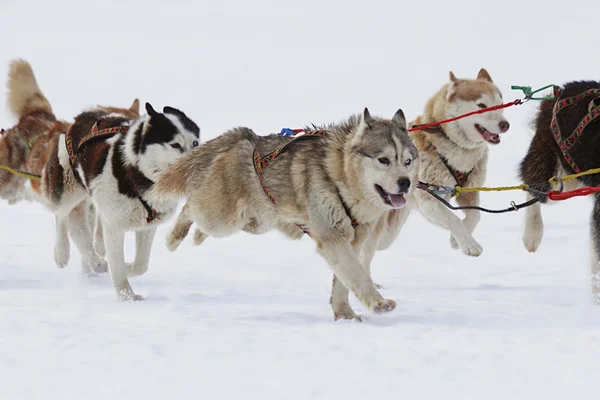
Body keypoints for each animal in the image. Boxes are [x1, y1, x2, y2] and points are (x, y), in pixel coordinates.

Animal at [151, 108, 418, 320]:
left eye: (407, 161)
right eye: (383, 159)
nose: (405, 183)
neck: (339, 176)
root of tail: (244, 136)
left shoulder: (352, 242)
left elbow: (343, 282)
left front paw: (344, 314)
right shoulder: (332, 238)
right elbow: (358, 275)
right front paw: (378, 303)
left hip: (255, 222)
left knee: (202, 224)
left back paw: (196, 237)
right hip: (221, 218)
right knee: (189, 207)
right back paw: (174, 237)